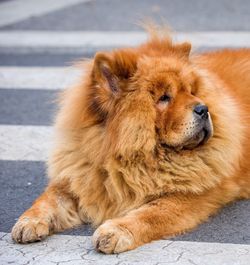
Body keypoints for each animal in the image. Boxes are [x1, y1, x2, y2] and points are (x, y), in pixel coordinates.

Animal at [11, 26, 250, 252]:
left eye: (192, 91)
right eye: (164, 98)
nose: (203, 108)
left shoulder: (191, 195)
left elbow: (149, 213)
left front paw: (114, 231)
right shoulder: (78, 175)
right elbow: (49, 199)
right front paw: (27, 222)